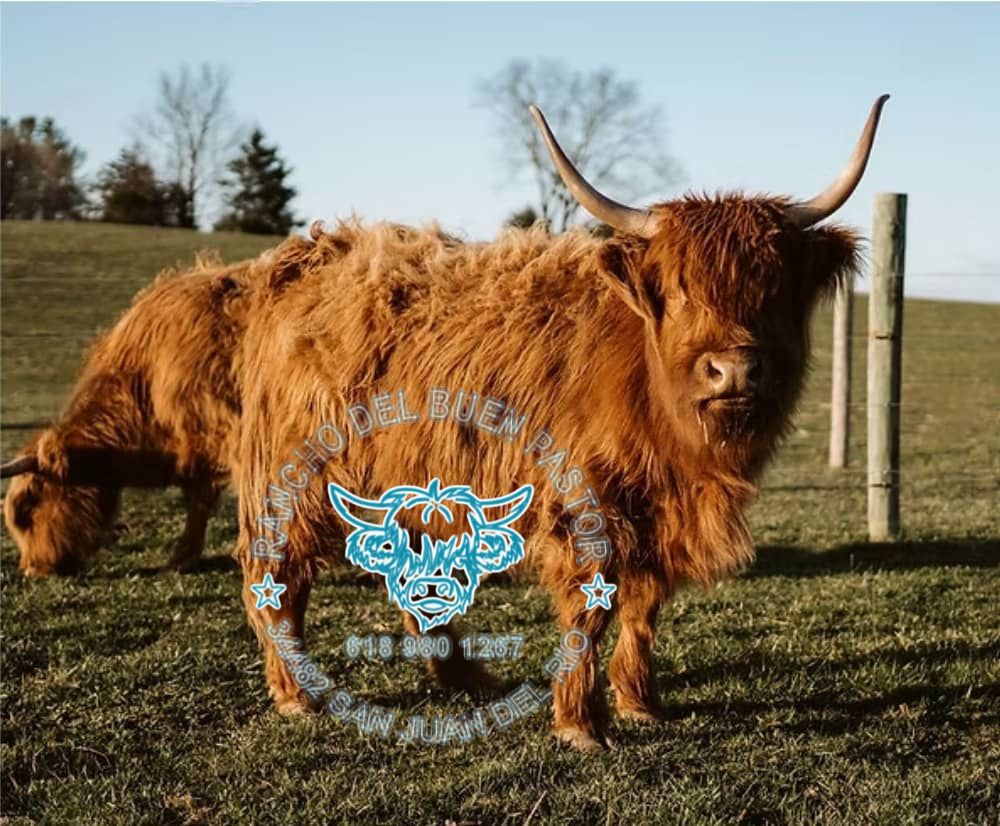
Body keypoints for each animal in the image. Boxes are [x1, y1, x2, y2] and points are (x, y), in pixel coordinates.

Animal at [235, 97, 888, 750]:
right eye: (677, 293)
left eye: (773, 293)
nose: (732, 370)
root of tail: (309, 256)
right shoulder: (585, 506)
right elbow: (590, 608)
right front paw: (579, 722)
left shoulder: (658, 511)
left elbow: (644, 606)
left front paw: (639, 702)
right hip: (291, 482)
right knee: (274, 577)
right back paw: (294, 695)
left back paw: (467, 677)